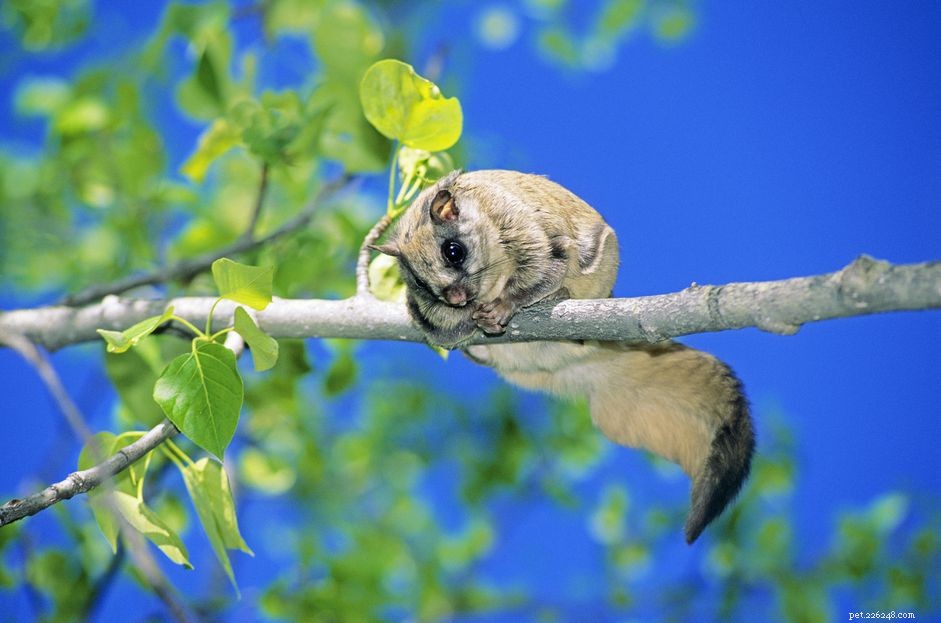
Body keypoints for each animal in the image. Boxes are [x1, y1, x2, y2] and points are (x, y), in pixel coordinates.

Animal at [373, 169, 755, 543]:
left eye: (453, 251)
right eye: (419, 283)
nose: (454, 297)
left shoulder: (525, 231)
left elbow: (545, 270)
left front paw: (503, 307)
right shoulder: (431, 316)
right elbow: (443, 331)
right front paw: (468, 318)